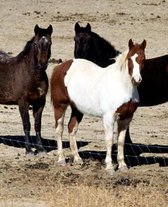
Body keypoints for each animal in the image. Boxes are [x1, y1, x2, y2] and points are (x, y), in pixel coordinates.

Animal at [0, 23, 52, 154]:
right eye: (36, 44)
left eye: (49, 43)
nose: (42, 64)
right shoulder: (23, 102)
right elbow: (27, 124)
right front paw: (29, 150)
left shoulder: (40, 102)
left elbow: (37, 124)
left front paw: (41, 148)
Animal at [50, 39, 146, 175]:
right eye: (129, 59)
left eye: (143, 59)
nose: (136, 79)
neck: (121, 86)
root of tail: (60, 67)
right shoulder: (109, 117)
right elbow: (109, 140)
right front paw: (110, 167)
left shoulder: (126, 117)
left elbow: (121, 141)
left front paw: (122, 165)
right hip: (60, 106)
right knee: (59, 130)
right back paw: (61, 159)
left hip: (77, 109)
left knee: (71, 128)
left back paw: (78, 159)